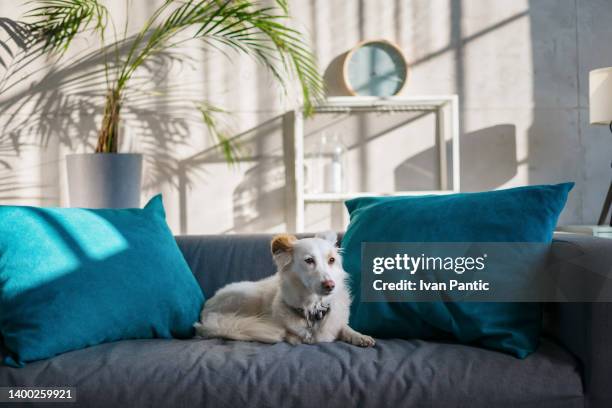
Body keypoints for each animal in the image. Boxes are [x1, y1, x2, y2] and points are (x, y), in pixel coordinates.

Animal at [196, 231, 376, 346]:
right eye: (309, 260)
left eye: (331, 260)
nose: (330, 285)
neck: (312, 308)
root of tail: (207, 309)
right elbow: (290, 333)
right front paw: (294, 337)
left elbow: (345, 327)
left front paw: (359, 336)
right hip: (248, 296)